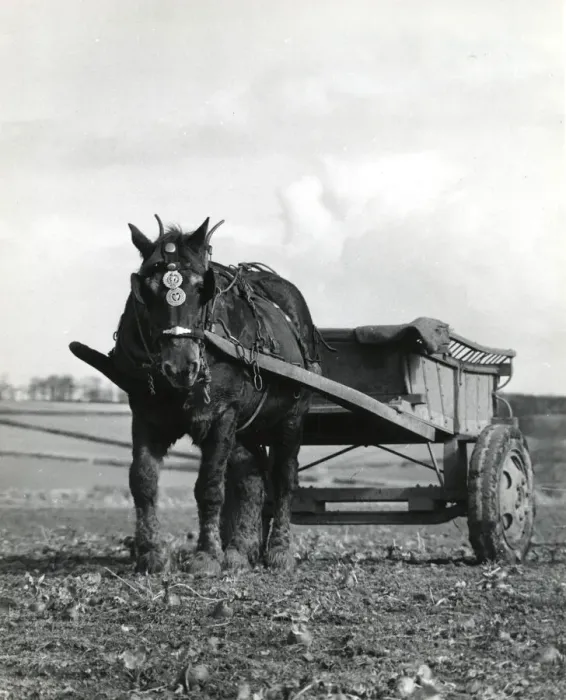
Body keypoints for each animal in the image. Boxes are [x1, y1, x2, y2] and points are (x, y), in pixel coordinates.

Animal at [108, 215, 321, 575]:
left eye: (199, 288)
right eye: (146, 290)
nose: (182, 366)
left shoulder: (222, 415)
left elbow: (209, 486)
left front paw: (207, 556)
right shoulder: (145, 415)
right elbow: (143, 480)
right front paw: (151, 553)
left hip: (291, 418)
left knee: (283, 478)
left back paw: (278, 550)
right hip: (248, 427)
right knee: (252, 477)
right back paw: (239, 550)